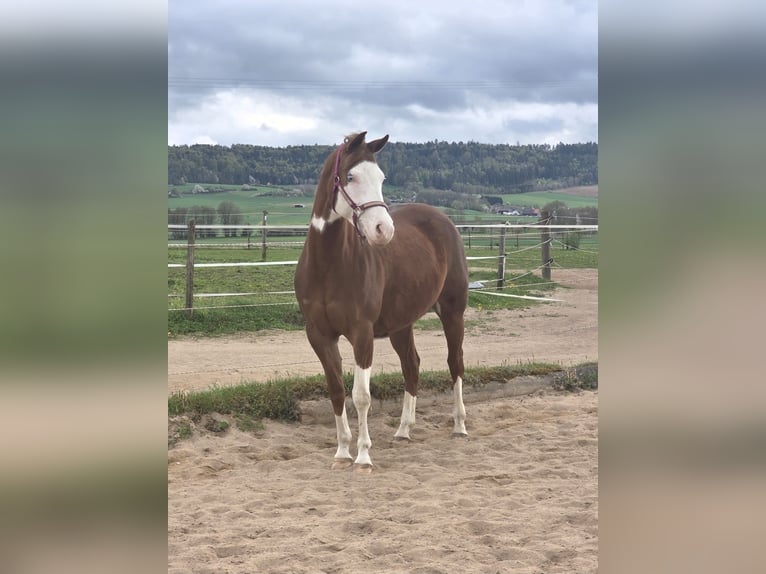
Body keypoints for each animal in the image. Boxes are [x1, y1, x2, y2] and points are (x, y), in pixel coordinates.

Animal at [294, 131, 468, 472]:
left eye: (381, 178)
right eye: (350, 176)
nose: (383, 230)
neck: (328, 266)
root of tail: (444, 220)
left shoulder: (361, 333)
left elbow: (361, 395)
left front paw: (363, 456)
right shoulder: (319, 335)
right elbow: (336, 390)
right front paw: (342, 452)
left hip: (453, 312)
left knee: (455, 362)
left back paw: (459, 425)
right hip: (402, 325)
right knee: (411, 365)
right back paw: (403, 430)